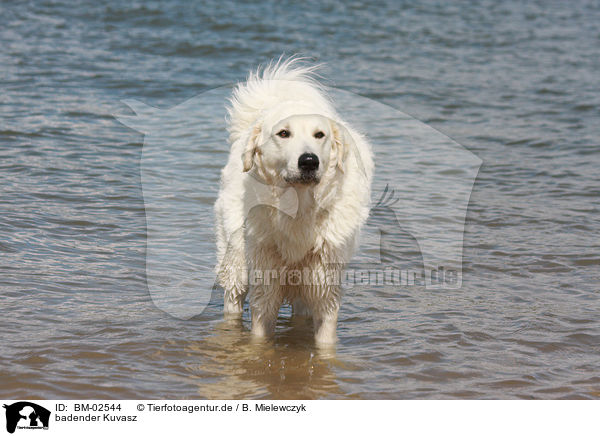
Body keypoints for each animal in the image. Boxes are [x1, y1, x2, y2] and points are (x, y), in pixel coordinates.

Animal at [216, 58, 372, 344]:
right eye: (283, 133)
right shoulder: (265, 281)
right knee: (233, 297)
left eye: (320, 135)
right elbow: (259, 336)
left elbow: (325, 339)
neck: (299, 208)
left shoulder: (323, 285)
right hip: (236, 258)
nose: (309, 161)